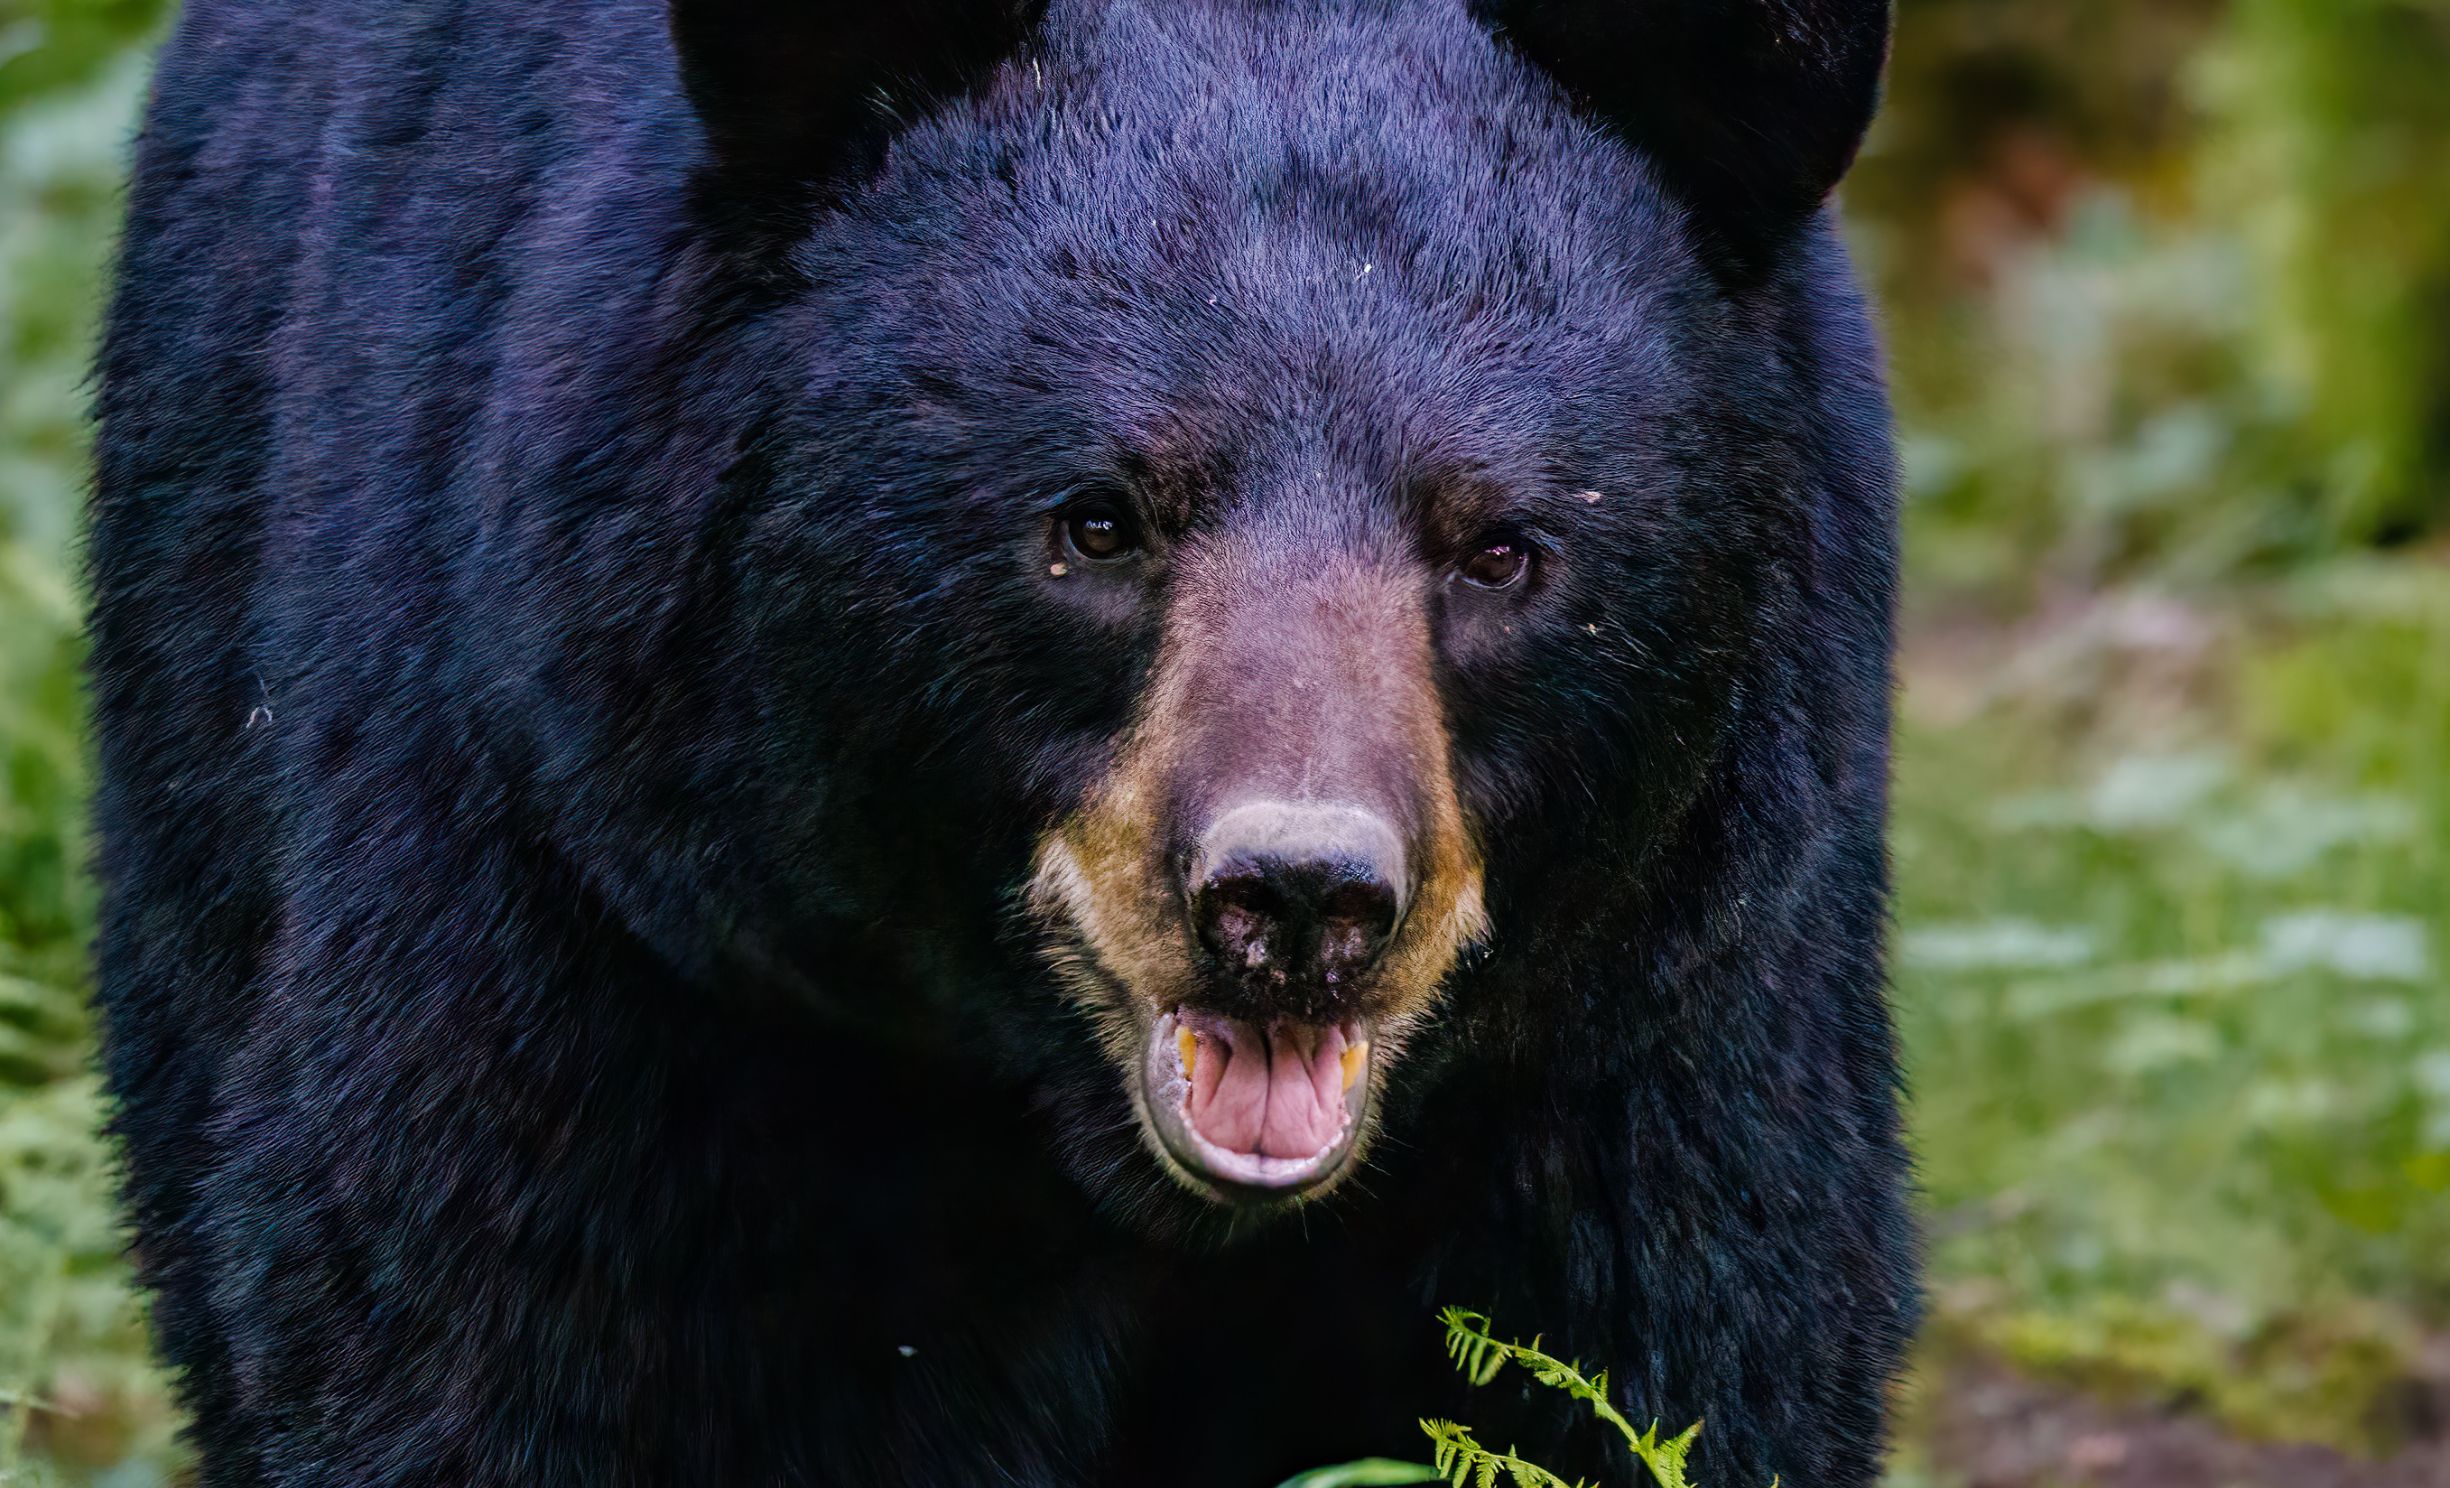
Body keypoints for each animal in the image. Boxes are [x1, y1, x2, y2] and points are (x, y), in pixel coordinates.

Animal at [86, 0, 1911, 1480]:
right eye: (1095, 522)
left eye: (1503, 550)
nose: (1296, 899)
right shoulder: (606, 908)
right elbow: (511, 1330)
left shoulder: (1664, 1009)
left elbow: (1661, 1348)